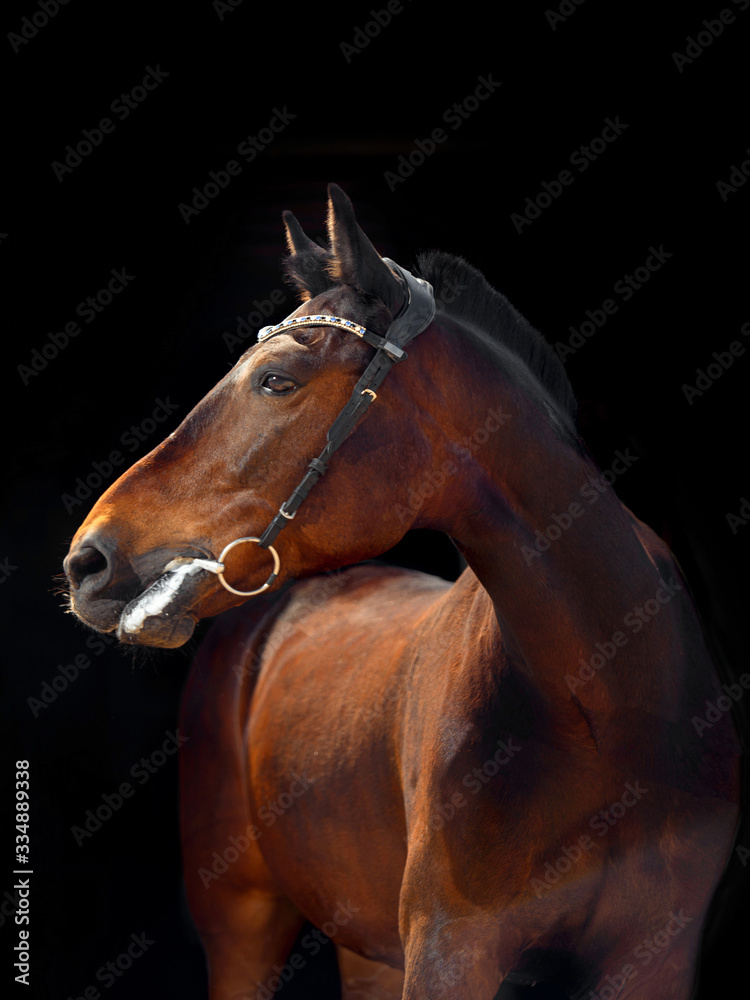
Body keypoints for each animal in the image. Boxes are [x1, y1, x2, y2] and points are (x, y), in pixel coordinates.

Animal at [63, 183, 741, 1000]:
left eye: (276, 379)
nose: (89, 560)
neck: (604, 706)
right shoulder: (453, 952)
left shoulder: (655, 959)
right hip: (241, 923)